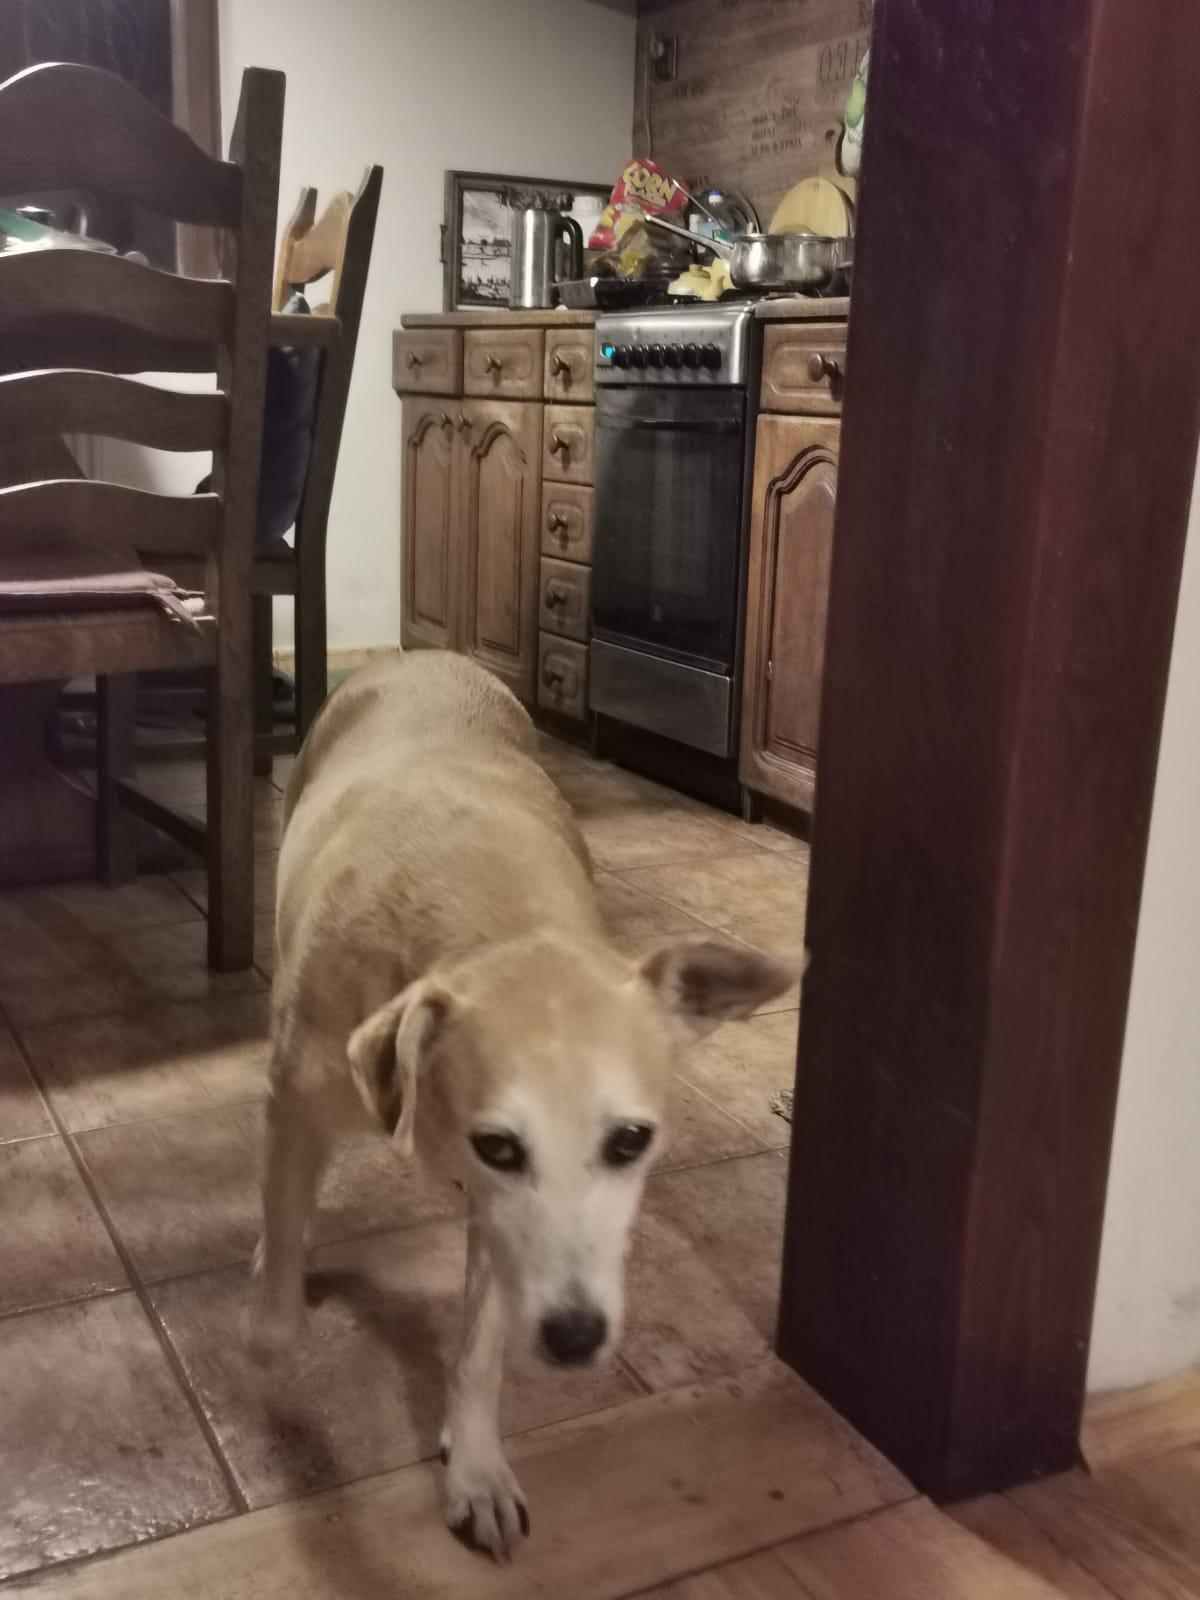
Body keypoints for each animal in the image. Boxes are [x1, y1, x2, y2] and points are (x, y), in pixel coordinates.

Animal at [254, 652, 794, 1556]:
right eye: (501, 1145)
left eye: (631, 1141)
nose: (575, 1339)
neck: (495, 923)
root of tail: (424, 654)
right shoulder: (301, 1101)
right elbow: (285, 1262)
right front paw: (280, 1334)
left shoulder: (497, 1216)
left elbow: (478, 1345)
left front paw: (475, 1468)